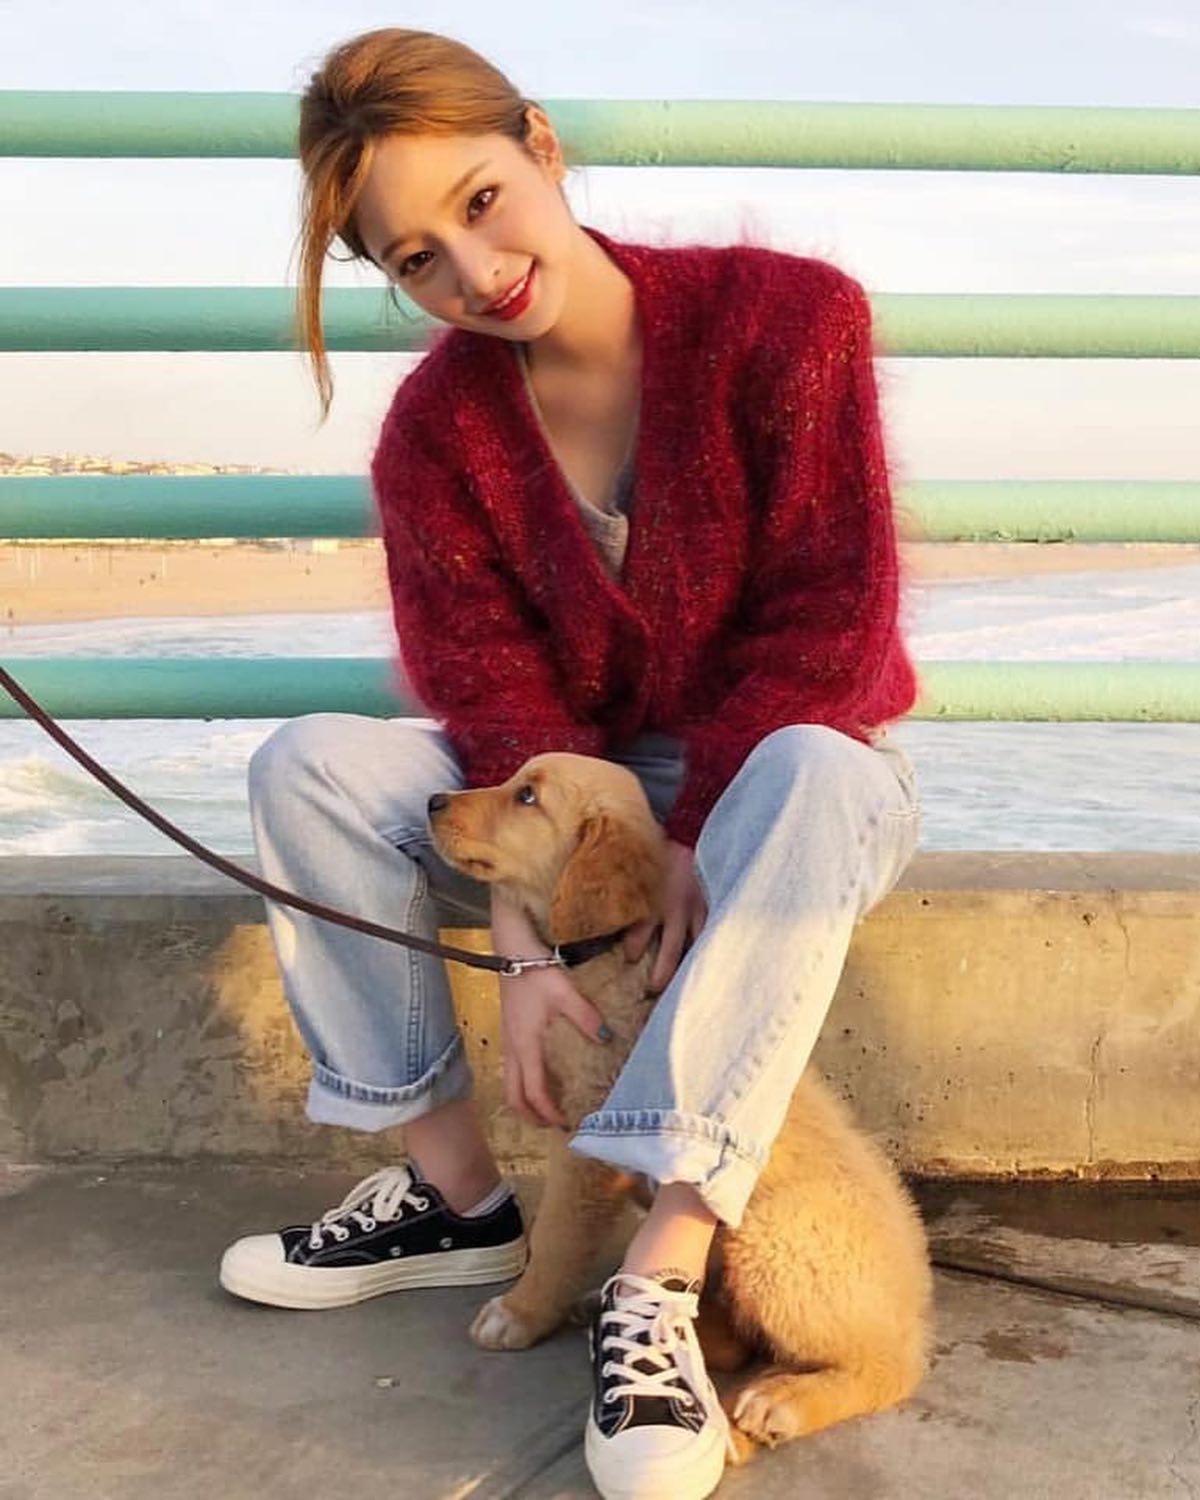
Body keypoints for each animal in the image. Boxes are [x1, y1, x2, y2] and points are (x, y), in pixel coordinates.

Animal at [427, 750, 934, 1464]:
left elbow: (555, 1237)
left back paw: (778, 1403)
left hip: (769, 1239)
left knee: (882, 1369)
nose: (434, 803)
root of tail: (915, 1310)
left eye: (527, 797)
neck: (607, 958)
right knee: (735, 1338)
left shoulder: (588, 1151)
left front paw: (519, 1312)